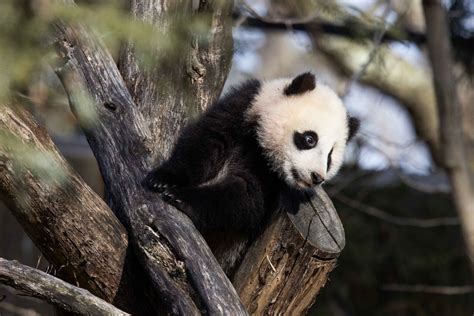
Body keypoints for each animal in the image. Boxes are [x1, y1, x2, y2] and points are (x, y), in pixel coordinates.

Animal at [145, 72, 360, 274]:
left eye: (330, 157)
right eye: (310, 139)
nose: (317, 177)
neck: (260, 146)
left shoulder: (271, 182)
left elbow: (245, 196)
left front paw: (181, 197)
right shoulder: (243, 107)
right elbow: (204, 142)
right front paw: (162, 180)